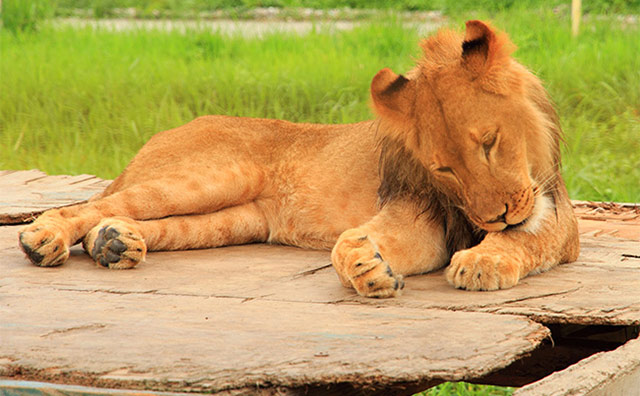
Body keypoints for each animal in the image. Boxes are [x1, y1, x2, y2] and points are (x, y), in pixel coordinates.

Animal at [18, 19, 580, 296]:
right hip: (211, 176)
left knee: (138, 221)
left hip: (234, 219)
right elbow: (351, 246)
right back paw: (44, 238)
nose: (495, 217)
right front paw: (365, 266)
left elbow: (526, 240)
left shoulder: (557, 217)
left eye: (489, 142)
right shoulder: (415, 211)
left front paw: (484, 259)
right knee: (89, 206)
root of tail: (163, 134)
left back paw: (114, 244)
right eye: (443, 167)